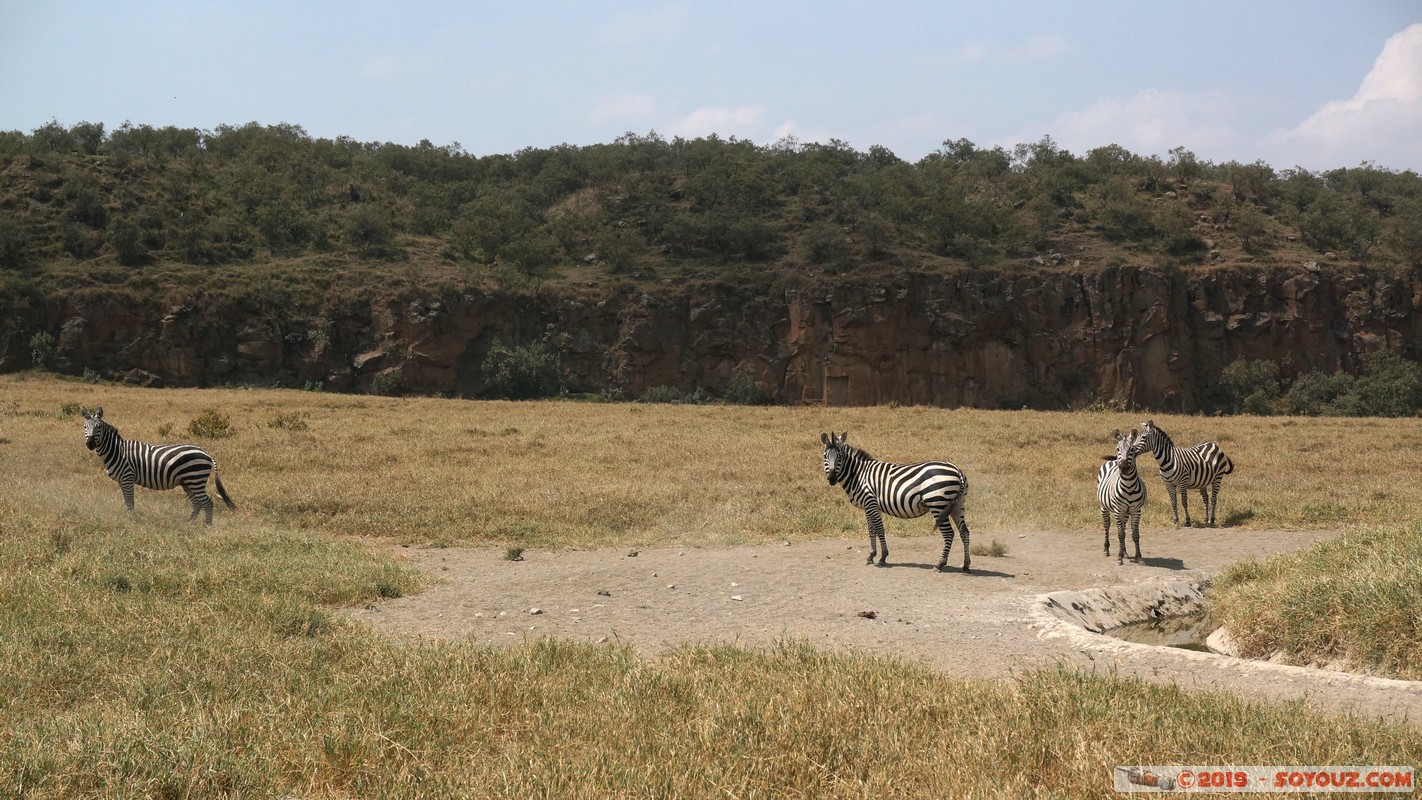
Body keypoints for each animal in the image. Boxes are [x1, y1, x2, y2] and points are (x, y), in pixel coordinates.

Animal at [81, 406, 236, 525]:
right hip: (187, 482)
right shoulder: (121, 481)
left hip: (195, 479)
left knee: (207, 503)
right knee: (197, 503)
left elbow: (130, 502)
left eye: (98, 427)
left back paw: (206, 526)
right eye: (85, 427)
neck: (118, 451)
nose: (90, 444)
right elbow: (126, 502)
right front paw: (130, 519)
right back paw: (188, 523)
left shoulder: (127, 477)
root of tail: (207, 454)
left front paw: (131, 521)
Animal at [819, 434, 972, 574]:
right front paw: (871, 556)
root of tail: (957, 470)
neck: (858, 475)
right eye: (825, 456)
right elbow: (871, 530)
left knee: (949, 534)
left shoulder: (870, 502)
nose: (832, 478)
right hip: (957, 505)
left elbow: (879, 529)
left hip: (938, 505)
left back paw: (939, 564)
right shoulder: (868, 506)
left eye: (840, 456)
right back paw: (966, 565)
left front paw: (882, 557)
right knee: (964, 531)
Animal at [1092, 429, 1148, 565]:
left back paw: (1125, 552)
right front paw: (1119, 557)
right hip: (1104, 507)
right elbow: (1120, 534)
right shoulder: (1118, 511)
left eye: (1132, 449)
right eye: (1118, 449)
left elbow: (1135, 534)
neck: (1128, 486)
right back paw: (1106, 549)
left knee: (1124, 528)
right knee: (1107, 525)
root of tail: (1112, 461)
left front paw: (1139, 557)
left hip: (1126, 513)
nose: (1123, 467)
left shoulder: (1136, 511)